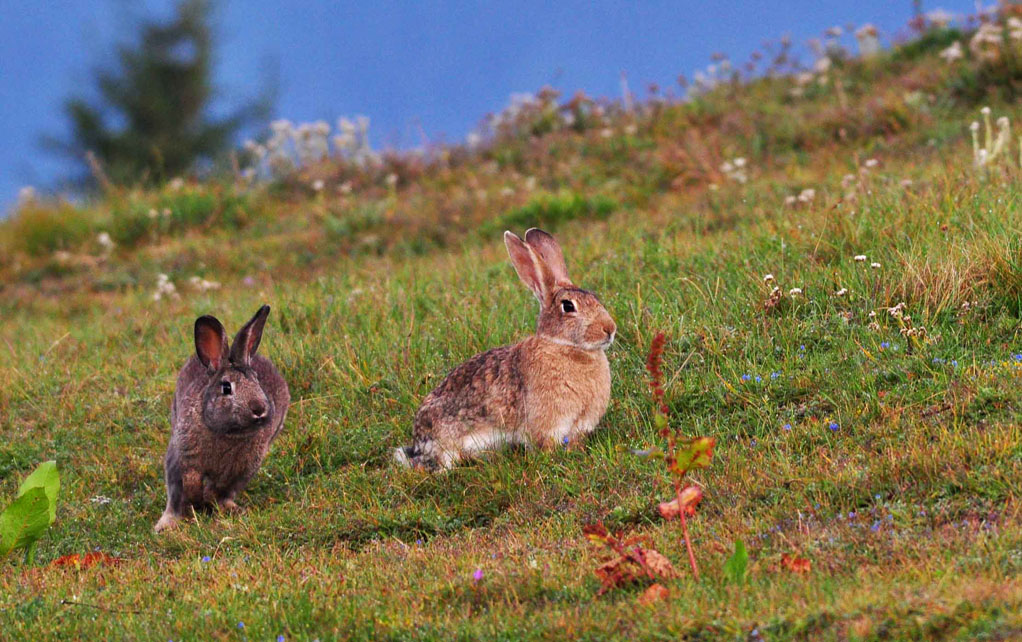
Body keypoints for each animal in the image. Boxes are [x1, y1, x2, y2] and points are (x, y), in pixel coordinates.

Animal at [155, 304, 292, 531]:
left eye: (257, 381)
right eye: (226, 388)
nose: (259, 409)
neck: (227, 432)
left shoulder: (239, 470)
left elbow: (220, 491)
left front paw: (217, 505)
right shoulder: (184, 457)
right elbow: (182, 487)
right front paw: (180, 514)